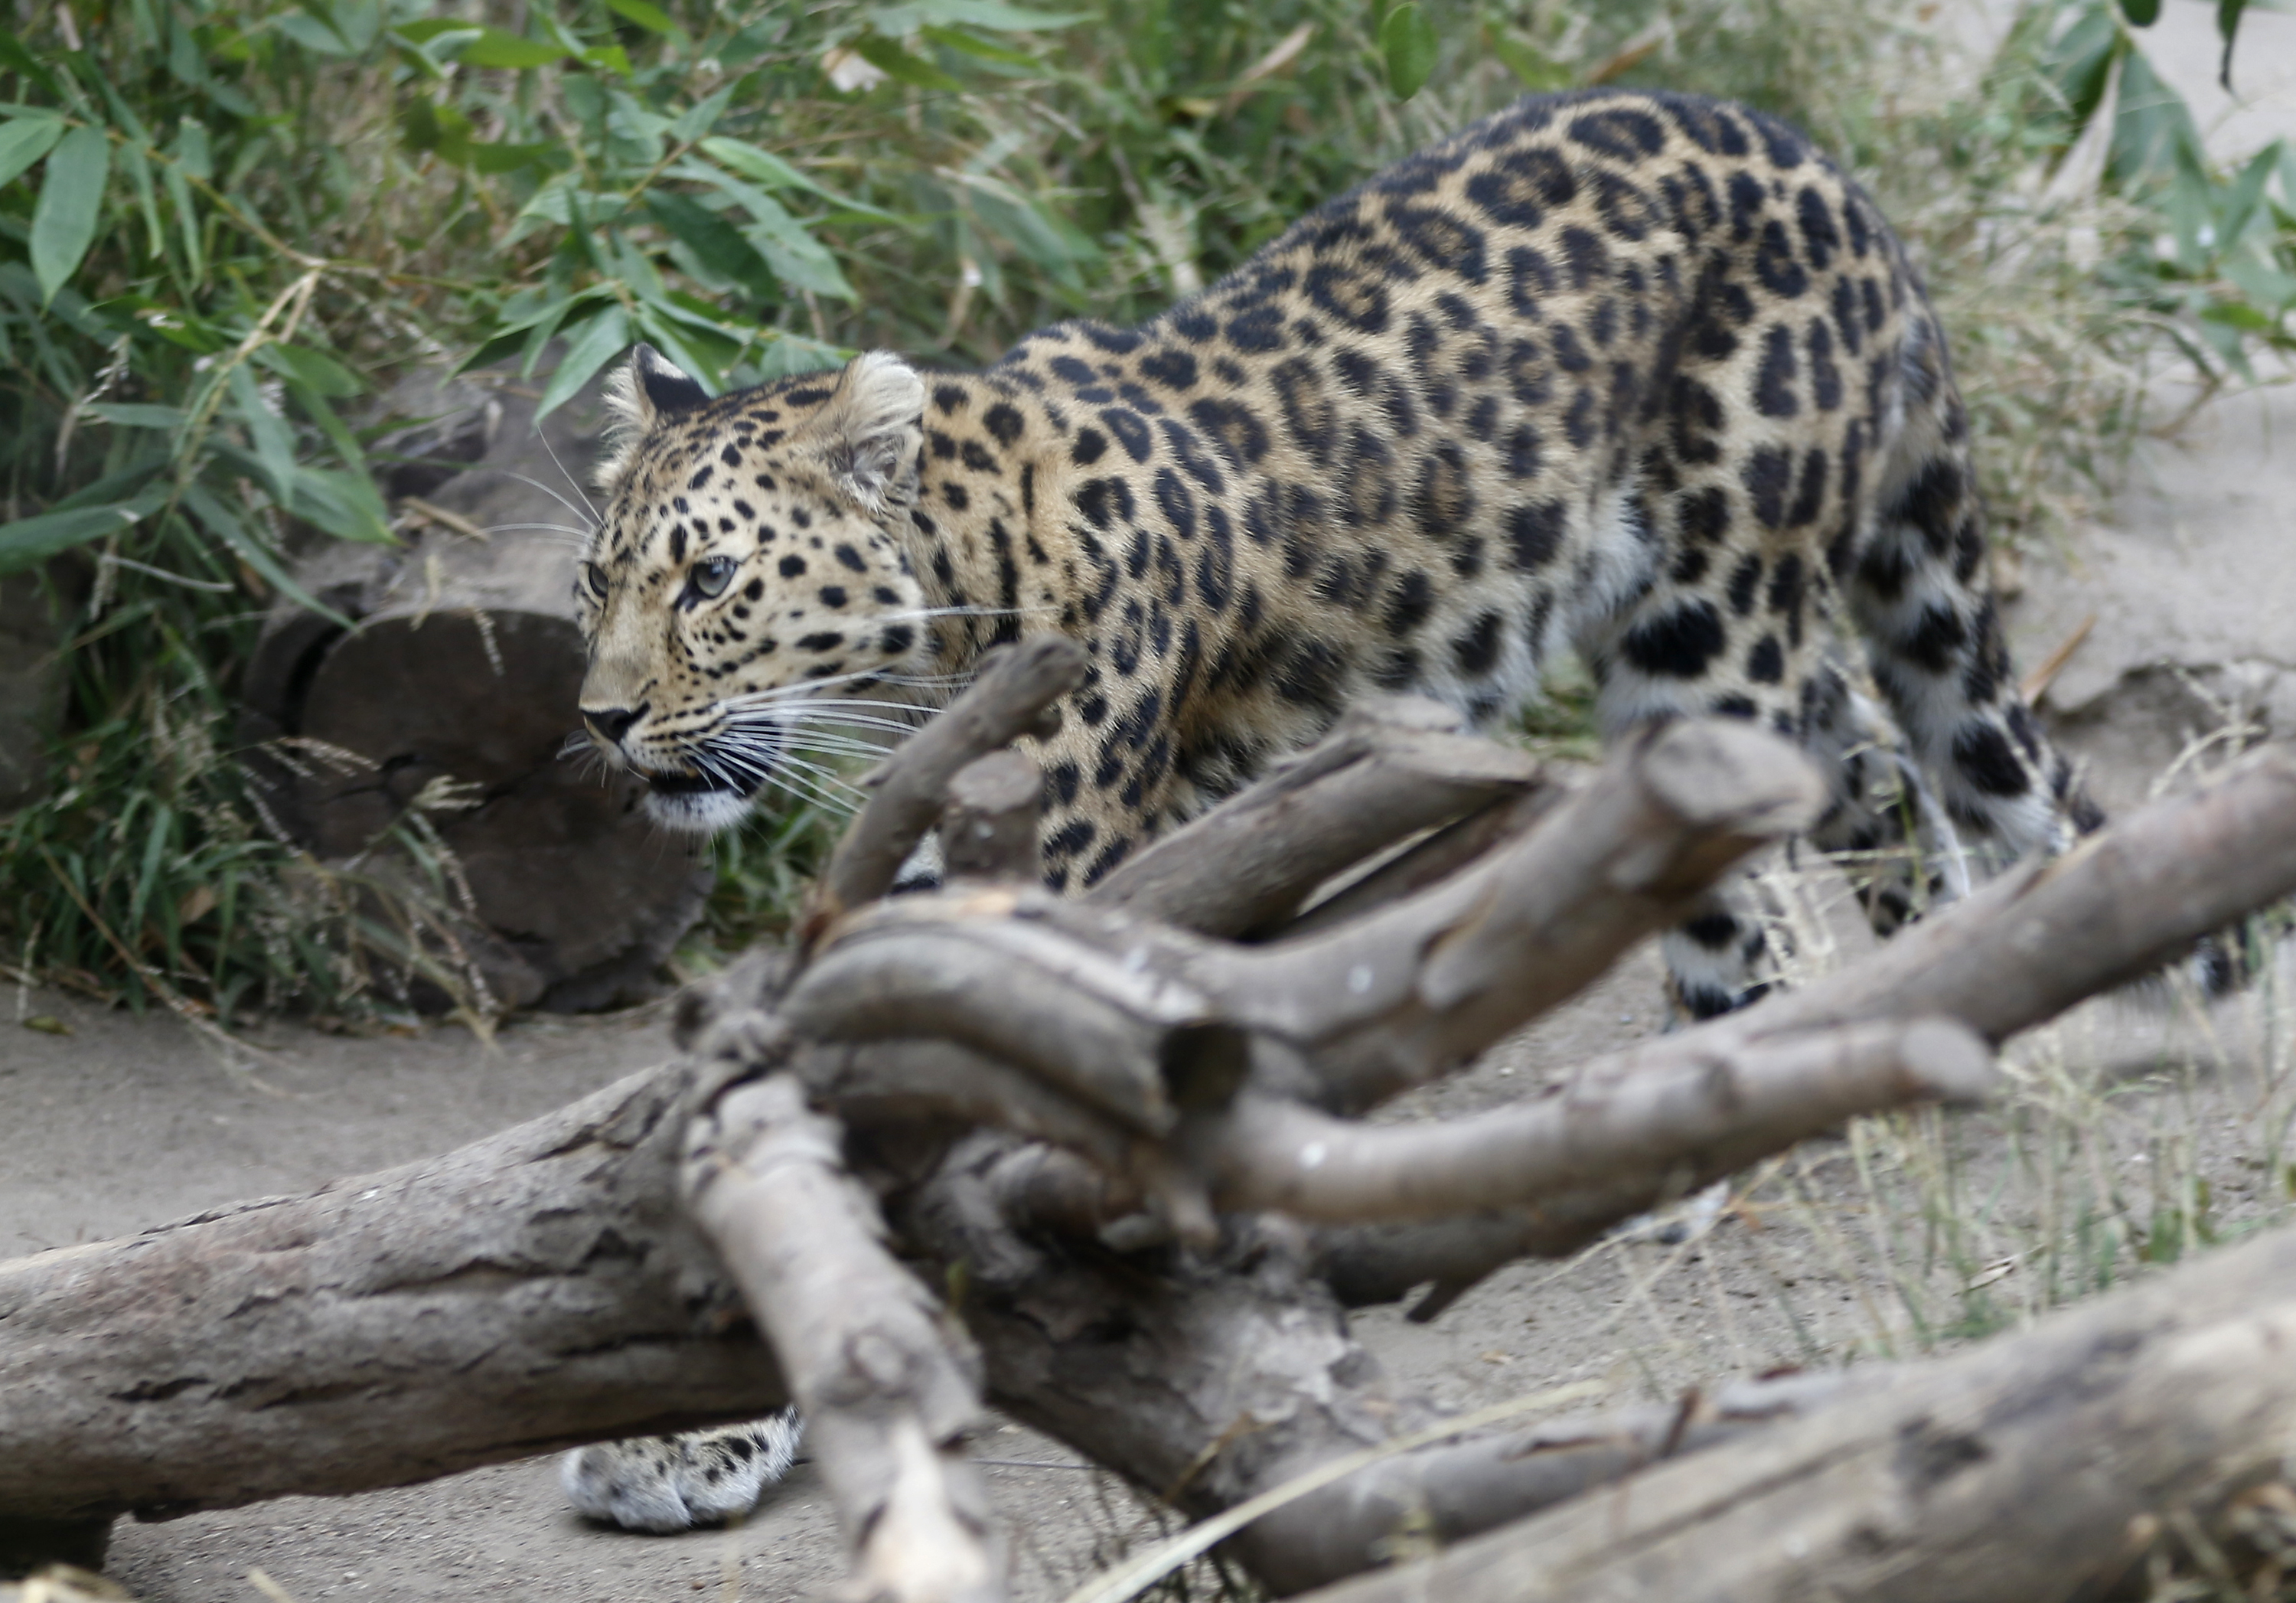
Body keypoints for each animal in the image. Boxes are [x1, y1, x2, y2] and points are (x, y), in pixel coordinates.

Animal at [569, 84, 2103, 1525]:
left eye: (710, 580)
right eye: (596, 581)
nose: (600, 717)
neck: (944, 613)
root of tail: (1817, 163)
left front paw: (701, 1426)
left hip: (1710, 633)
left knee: (1742, 895)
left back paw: (1679, 1142)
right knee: (1888, 765)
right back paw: (1922, 1001)